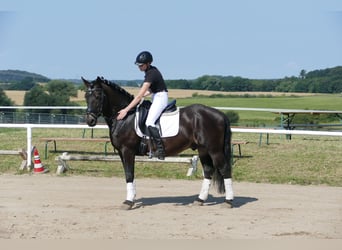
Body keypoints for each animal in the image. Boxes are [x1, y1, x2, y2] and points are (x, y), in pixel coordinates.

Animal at [81, 76, 234, 209]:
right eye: (86, 97)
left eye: (98, 96)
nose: (90, 120)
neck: (125, 116)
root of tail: (220, 114)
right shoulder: (121, 153)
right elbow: (128, 175)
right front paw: (132, 198)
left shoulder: (127, 151)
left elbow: (129, 174)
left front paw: (128, 202)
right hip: (203, 150)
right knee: (208, 170)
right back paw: (200, 200)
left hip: (214, 150)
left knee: (224, 169)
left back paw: (228, 201)